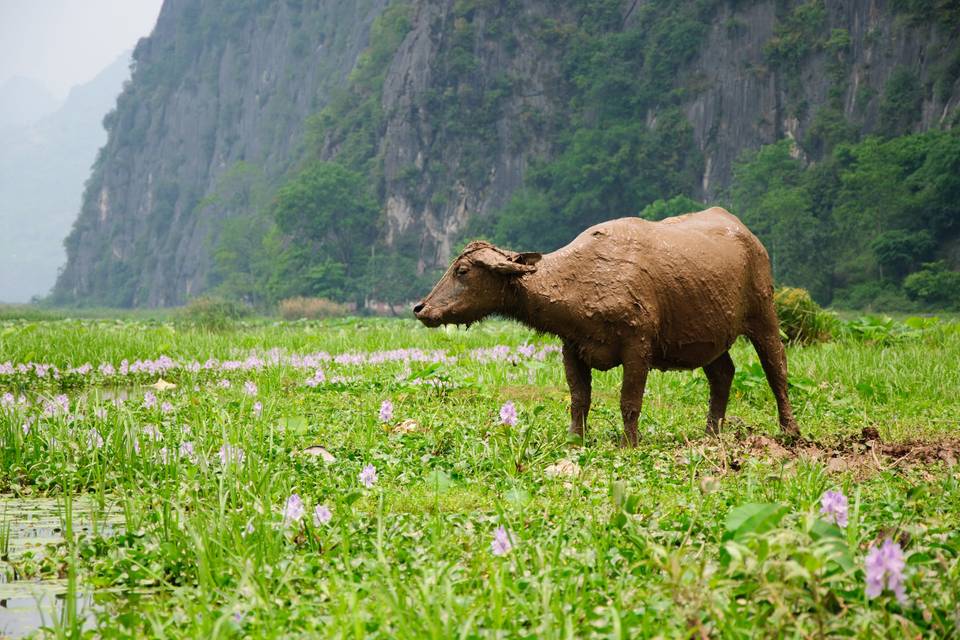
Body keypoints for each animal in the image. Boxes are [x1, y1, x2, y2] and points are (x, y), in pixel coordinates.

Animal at [416, 208, 800, 442]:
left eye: (462, 270)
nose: (421, 308)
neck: (578, 281)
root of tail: (749, 236)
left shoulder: (638, 348)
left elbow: (629, 402)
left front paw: (630, 443)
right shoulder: (571, 348)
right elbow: (579, 400)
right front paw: (575, 440)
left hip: (764, 314)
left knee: (776, 370)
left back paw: (790, 432)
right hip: (708, 336)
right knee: (723, 373)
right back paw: (711, 433)